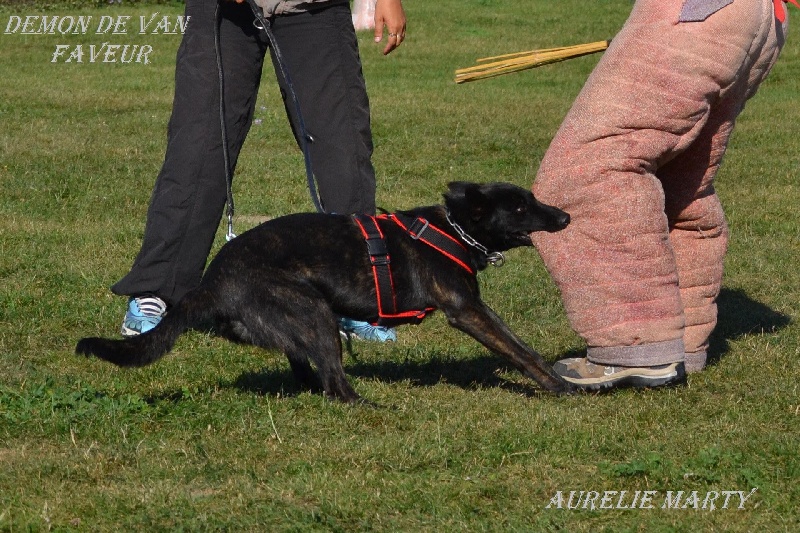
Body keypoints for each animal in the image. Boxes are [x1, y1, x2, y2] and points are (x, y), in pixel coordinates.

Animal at [75, 181, 572, 402]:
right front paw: (561, 386)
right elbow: (520, 350)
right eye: (521, 207)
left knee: (306, 368)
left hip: (297, 319)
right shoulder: (467, 310)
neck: (454, 228)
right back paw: (365, 403)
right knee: (336, 385)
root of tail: (213, 282)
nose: (565, 216)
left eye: (531, 199)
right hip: (314, 313)